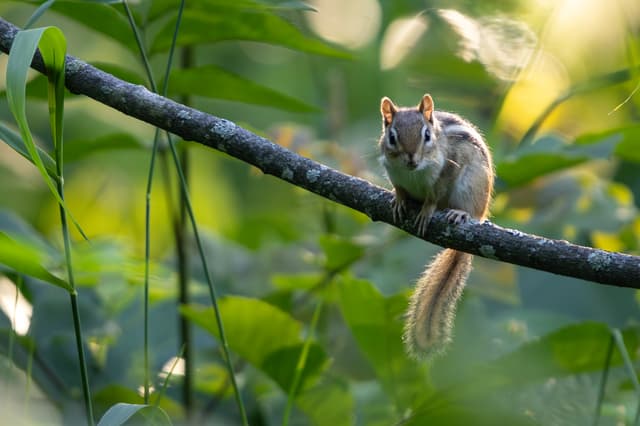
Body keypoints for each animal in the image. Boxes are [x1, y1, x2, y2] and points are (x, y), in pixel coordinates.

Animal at [378, 94, 494, 359]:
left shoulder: (447, 169)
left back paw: (460, 214)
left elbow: (434, 196)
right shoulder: (393, 172)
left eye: (427, 135)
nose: (412, 158)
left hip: (472, 188)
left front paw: (427, 211)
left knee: (471, 211)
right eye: (392, 137)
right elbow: (399, 188)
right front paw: (399, 200)